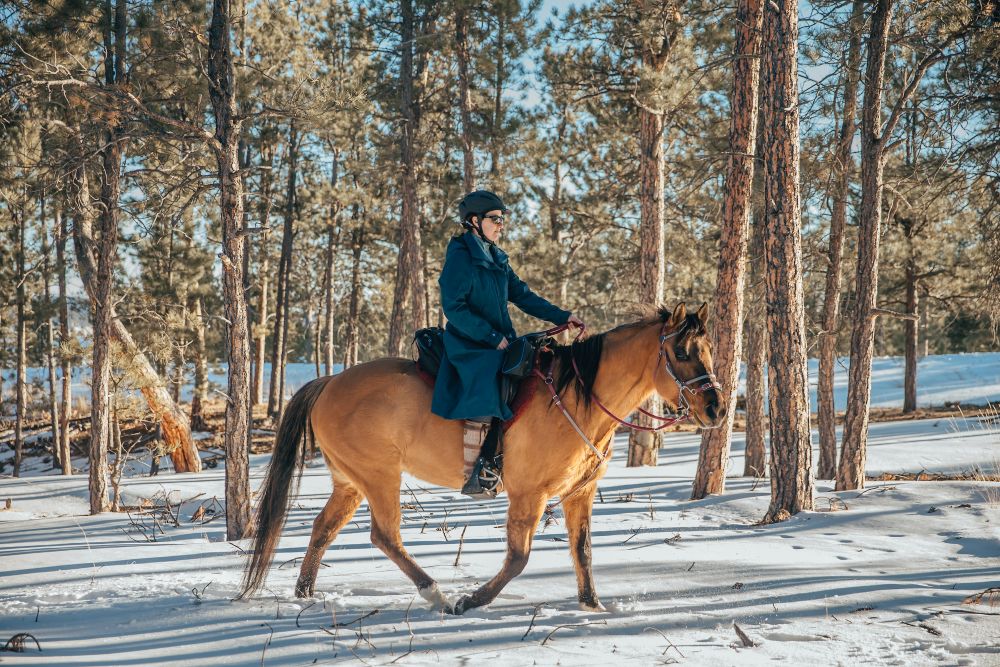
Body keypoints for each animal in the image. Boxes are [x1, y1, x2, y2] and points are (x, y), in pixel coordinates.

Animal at [239, 302, 725, 614]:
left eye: (709, 351)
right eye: (682, 352)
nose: (716, 409)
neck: (577, 398)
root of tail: (330, 382)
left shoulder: (578, 495)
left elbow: (582, 550)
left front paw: (593, 605)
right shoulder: (528, 496)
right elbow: (518, 558)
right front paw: (473, 599)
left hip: (350, 481)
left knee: (324, 529)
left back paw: (306, 593)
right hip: (378, 476)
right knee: (385, 536)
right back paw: (435, 594)